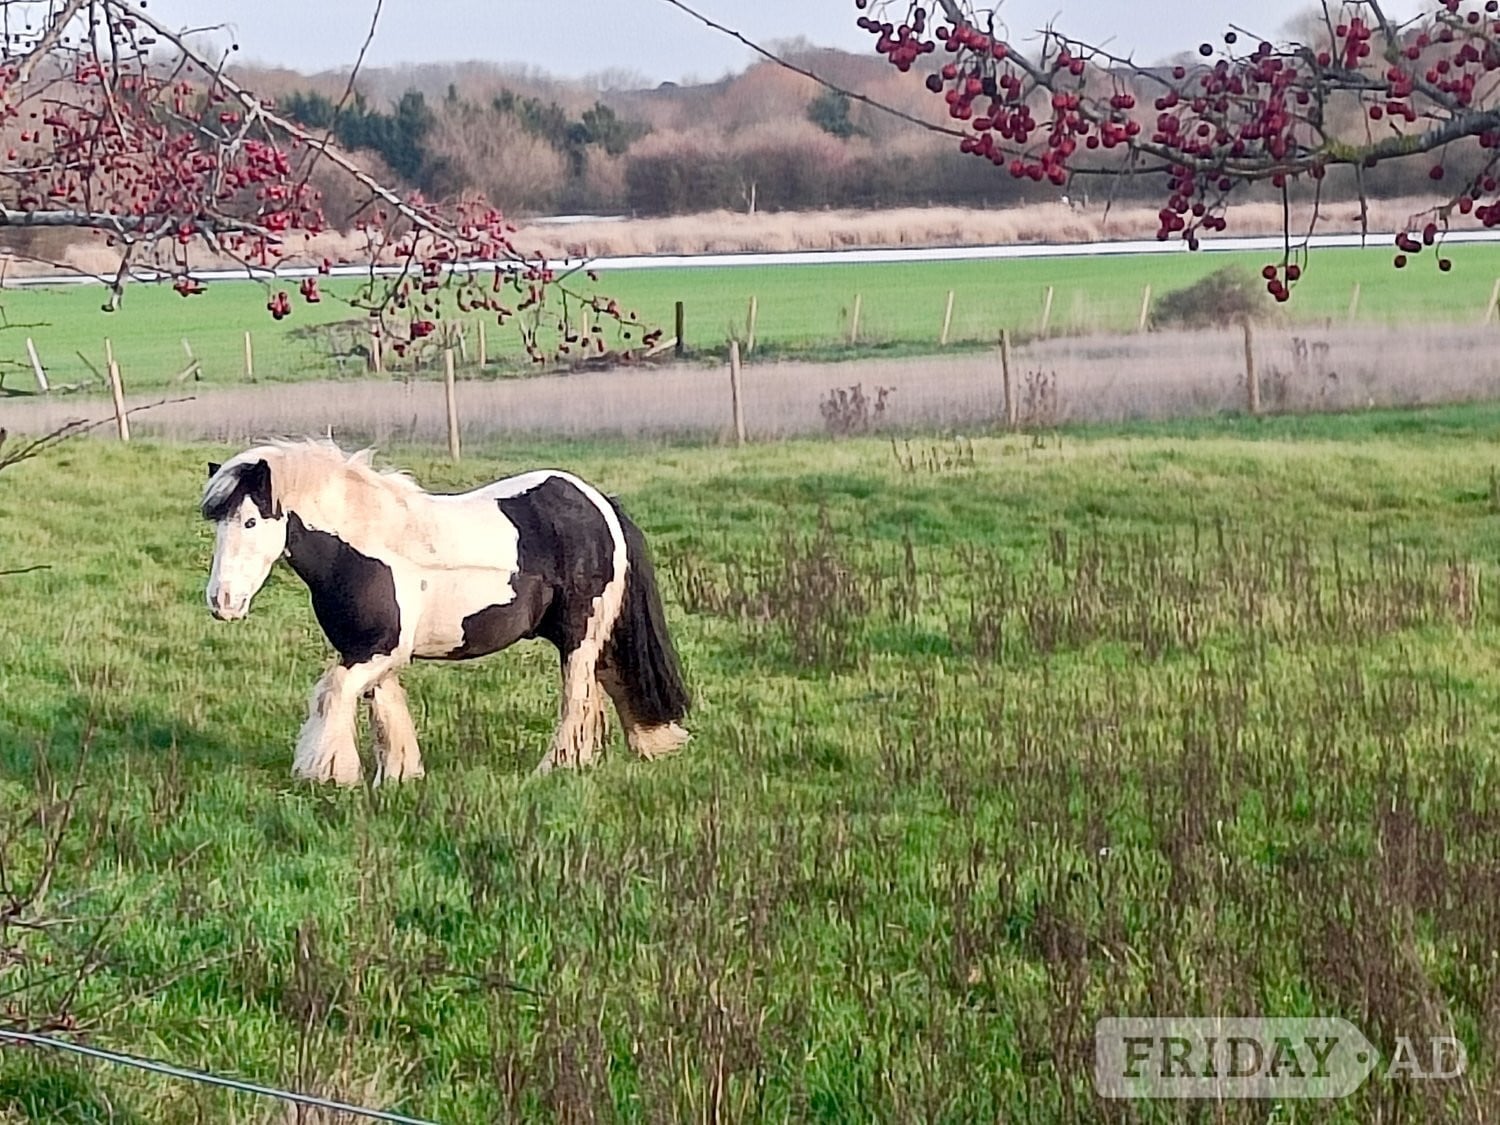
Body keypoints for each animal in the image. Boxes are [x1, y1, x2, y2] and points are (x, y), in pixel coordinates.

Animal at [200, 440, 690, 784]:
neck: (362, 549)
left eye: (249, 521)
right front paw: (399, 775)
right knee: (606, 686)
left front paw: (328, 771)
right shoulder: (366, 651)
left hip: (578, 636)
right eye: (219, 523)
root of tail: (600, 503)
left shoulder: (375, 651)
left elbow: (332, 691)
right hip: (593, 636)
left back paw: (553, 768)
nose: (222, 602)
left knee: (576, 700)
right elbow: (383, 708)